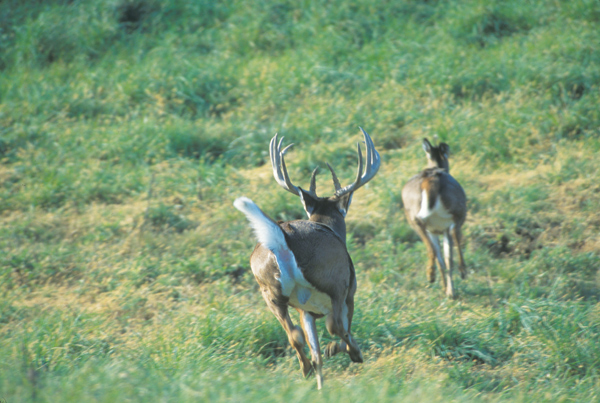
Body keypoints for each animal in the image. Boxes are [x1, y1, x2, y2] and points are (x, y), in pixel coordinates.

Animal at [233, 128, 380, 390]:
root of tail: (284, 236)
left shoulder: (306, 310)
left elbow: (316, 352)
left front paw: (321, 387)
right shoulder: (349, 291)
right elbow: (341, 329)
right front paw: (344, 352)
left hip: (269, 291)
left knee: (295, 336)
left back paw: (306, 369)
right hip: (334, 281)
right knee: (335, 326)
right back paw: (354, 353)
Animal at [400, 139, 466, 300]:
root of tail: (430, 179)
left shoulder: (434, 230)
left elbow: (444, 259)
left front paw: (447, 290)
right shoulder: (441, 228)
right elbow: (446, 256)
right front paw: (449, 290)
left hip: (417, 219)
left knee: (435, 251)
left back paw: (435, 278)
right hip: (458, 210)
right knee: (454, 234)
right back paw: (459, 272)